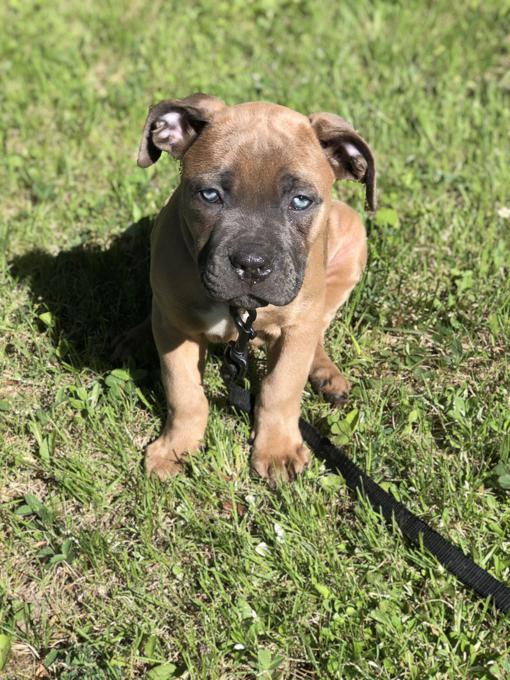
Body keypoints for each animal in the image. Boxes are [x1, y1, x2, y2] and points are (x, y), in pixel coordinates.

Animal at [135, 93, 374, 484]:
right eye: (210, 195)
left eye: (300, 201)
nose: (252, 264)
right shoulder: (176, 329)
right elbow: (184, 392)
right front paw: (175, 448)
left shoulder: (297, 327)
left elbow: (281, 389)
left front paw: (276, 450)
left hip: (352, 241)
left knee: (319, 331)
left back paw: (326, 374)